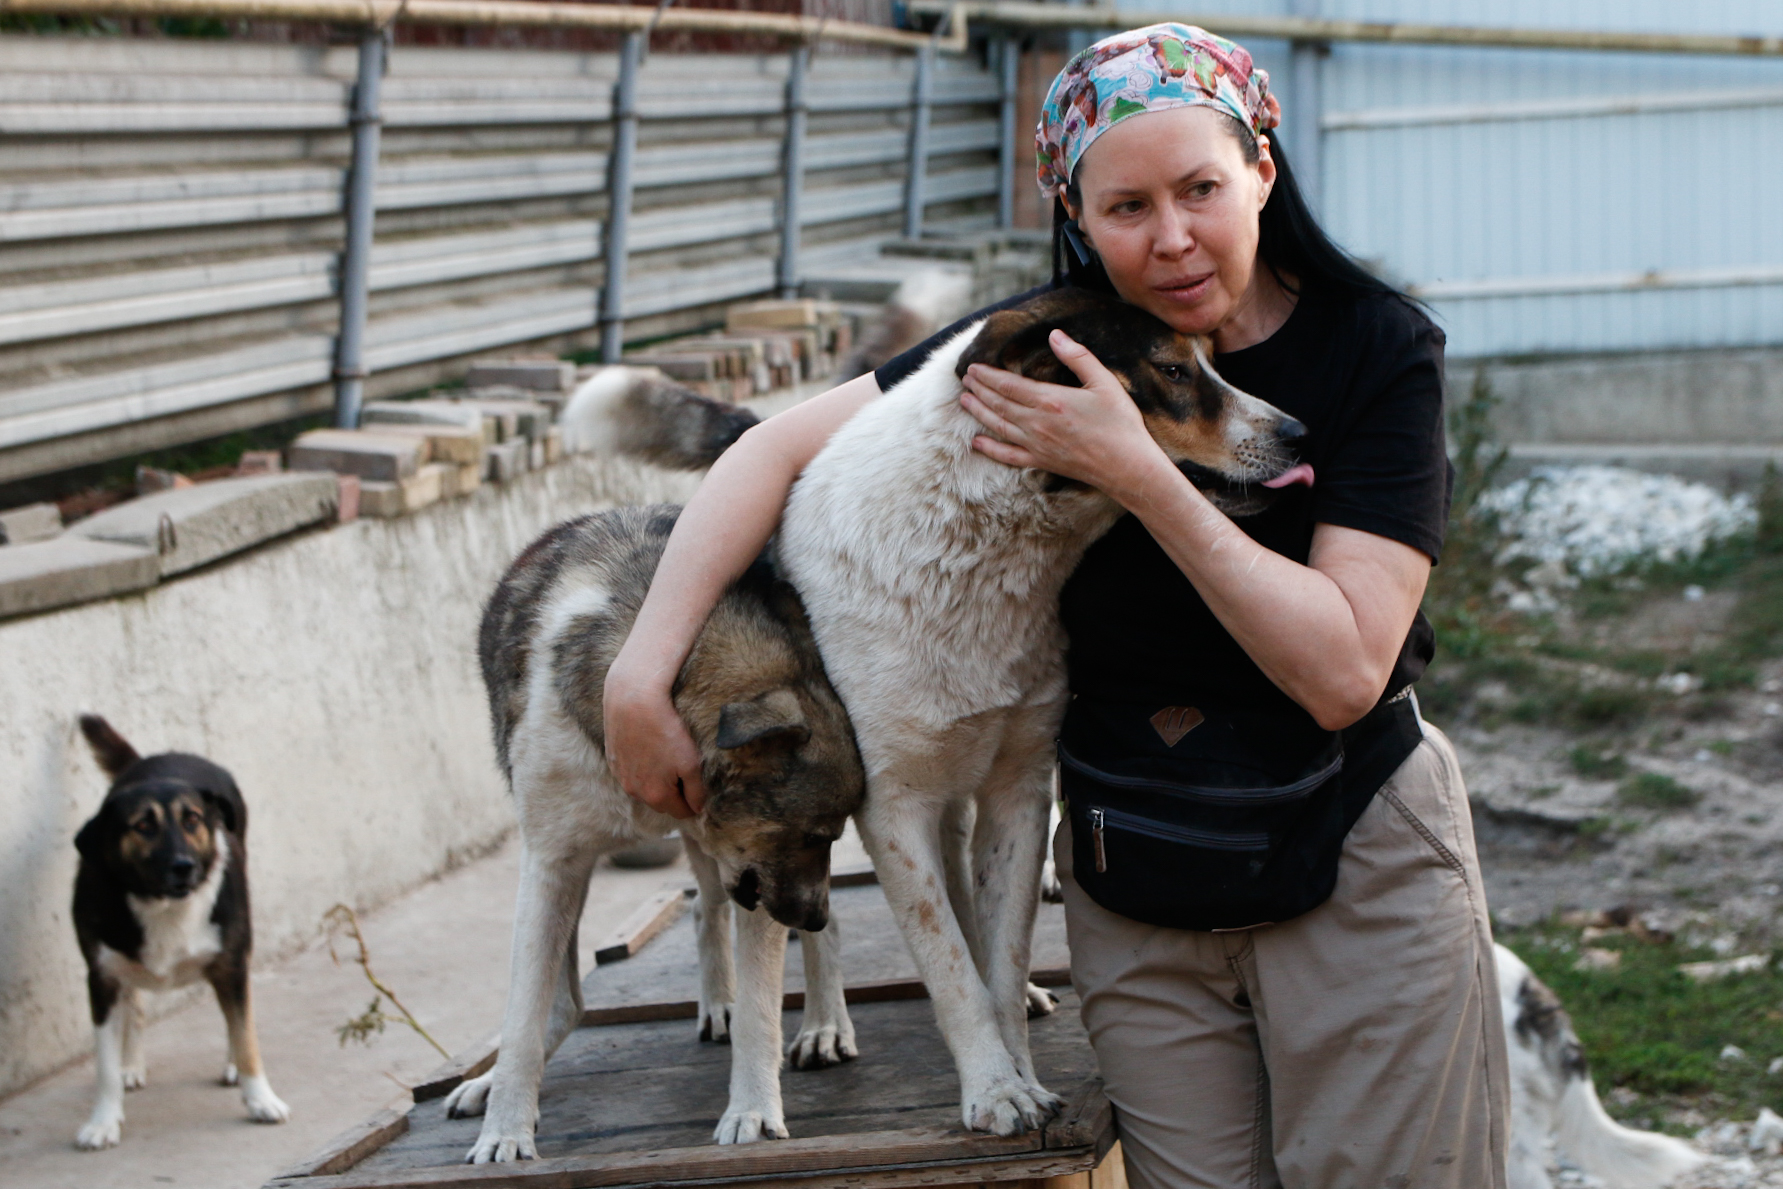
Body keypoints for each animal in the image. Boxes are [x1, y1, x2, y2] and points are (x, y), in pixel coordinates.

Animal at [69, 716, 285, 1155]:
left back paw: (231, 1064)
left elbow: (246, 1034)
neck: (162, 904)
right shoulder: (101, 978)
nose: (184, 866)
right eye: (143, 826)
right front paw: (103, 1120)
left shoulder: (231, 965)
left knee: (235, 1017)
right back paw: (131, 1063)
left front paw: (260, 1098)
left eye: (192, 820)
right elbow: (104, 1065)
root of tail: (162, 757)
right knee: (134, 1004)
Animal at [445, 502, 862, 1162]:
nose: (813, 917)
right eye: (814, 834)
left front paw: (752, 1112)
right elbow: (523, 1018)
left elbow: (760, 1015)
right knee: (663, 935)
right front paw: (504, 1130)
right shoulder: (552, 863)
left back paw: (824, 1023)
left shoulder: (758, 879)